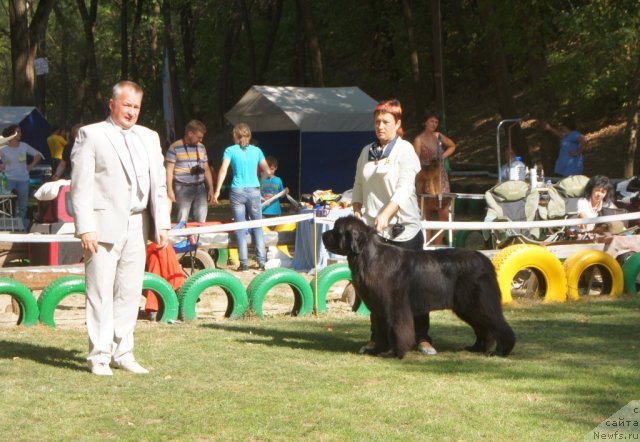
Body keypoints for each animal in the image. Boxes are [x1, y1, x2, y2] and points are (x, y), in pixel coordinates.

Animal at [322, 217, 516, 360]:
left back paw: (502, 351)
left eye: (336, 230)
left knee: (498, 324)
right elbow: (381, 331)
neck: (368, 257)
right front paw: (376, 350)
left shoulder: (395, 307)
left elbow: (396, 330)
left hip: (478, 303)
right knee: (483, 328)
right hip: (466, 307)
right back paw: (476, 348)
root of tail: (485, 260)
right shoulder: (378, 309)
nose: (323, 234)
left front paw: (394, 353)